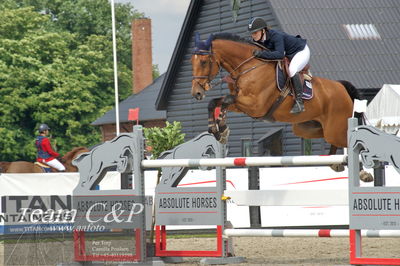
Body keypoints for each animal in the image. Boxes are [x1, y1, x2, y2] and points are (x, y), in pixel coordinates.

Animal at [192, 32, 374, 182]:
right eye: (191, 62)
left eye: (203, 62)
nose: (197, 93)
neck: (247, 67)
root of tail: (341, 87)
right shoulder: (241, 104)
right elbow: (215, 103)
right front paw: (219, 131)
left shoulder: (254, 105)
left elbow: (225, 101)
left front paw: (221, 129)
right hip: (307, 128)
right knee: (332, 139)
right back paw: (334, 162)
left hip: (334, 128)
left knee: (349, 140)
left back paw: (363, 173)